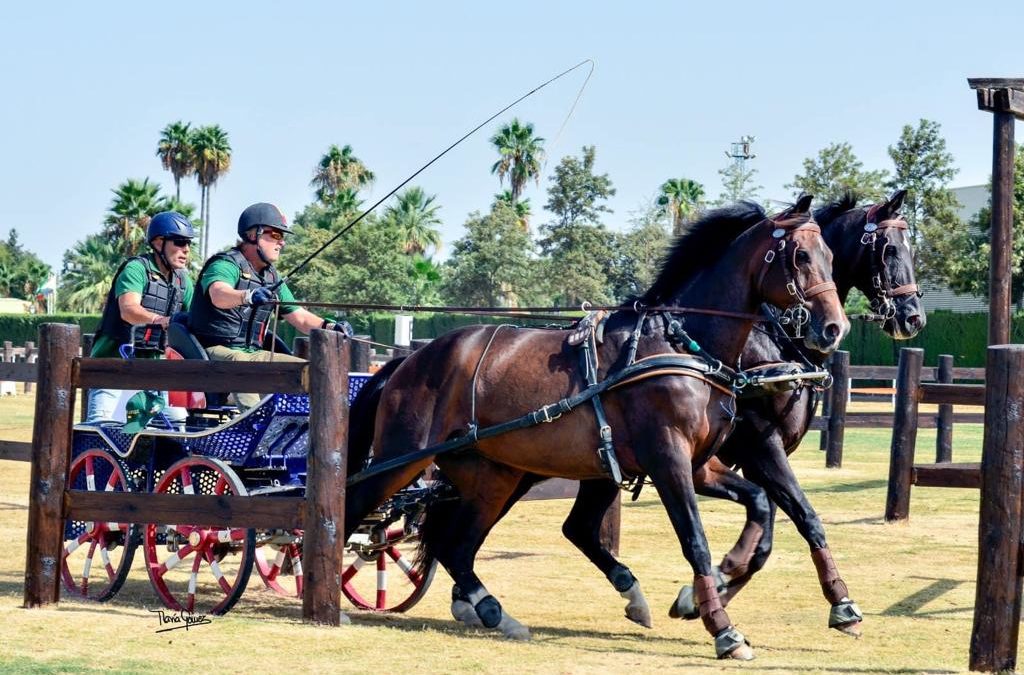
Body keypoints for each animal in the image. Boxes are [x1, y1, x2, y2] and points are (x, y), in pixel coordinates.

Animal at [344, 195, 847, 659]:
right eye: (801, 256)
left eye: (831, 256)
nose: (834, 328)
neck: (683, 345)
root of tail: (410, 359)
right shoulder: (671, 459)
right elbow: (696, 540)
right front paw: (723, 628)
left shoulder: (701, 464)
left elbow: (762, 504)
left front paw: (729, 579)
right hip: (400, 459)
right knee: (353, 508)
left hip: (494, 476)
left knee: (458, 545)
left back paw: (495, 612)